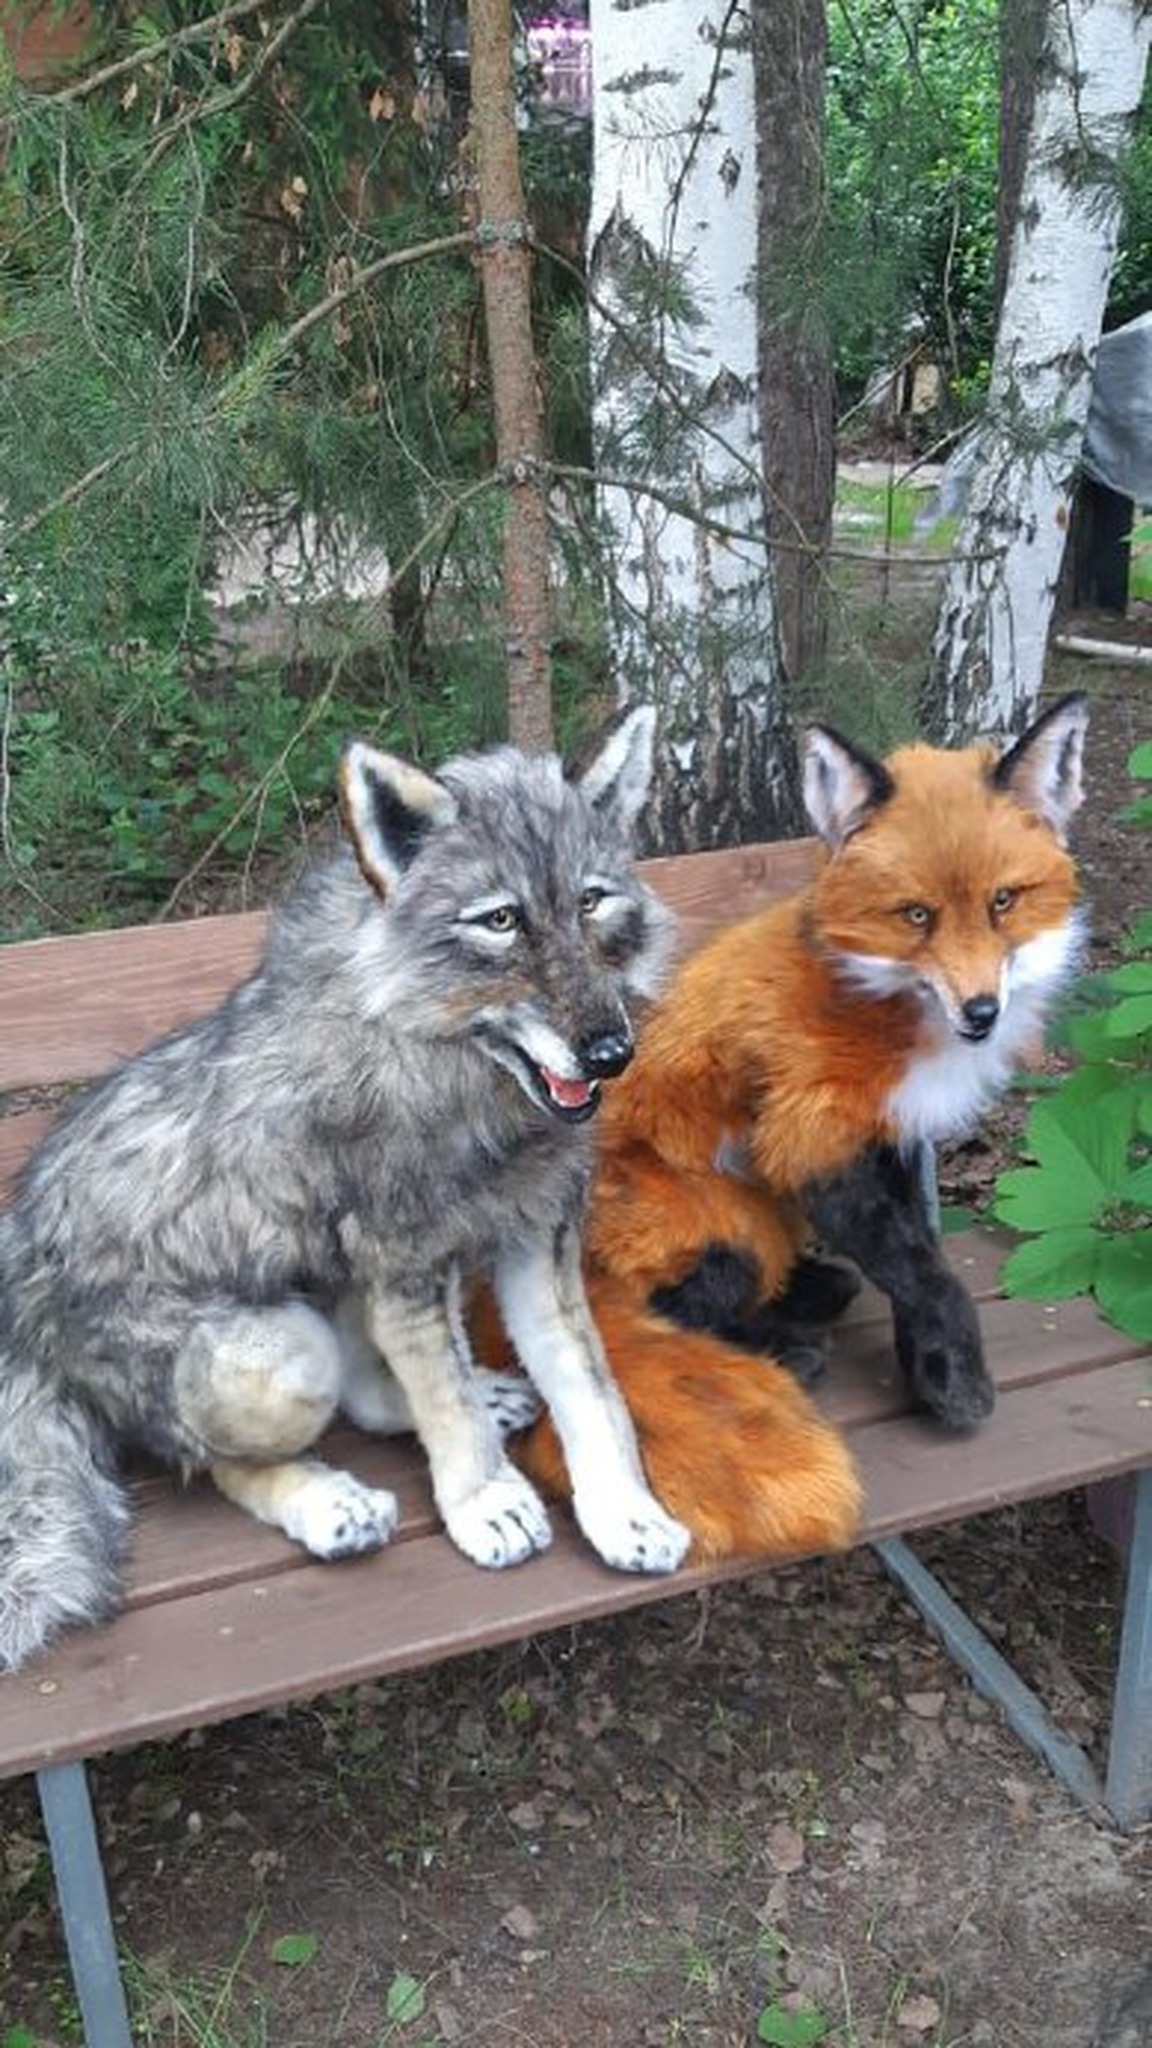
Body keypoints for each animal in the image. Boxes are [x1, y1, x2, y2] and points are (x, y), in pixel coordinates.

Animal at [0, 710, 704, 1673]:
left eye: (591, 902)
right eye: (500, 920)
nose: (609, 1054)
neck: (452, 1070)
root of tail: (25, 1309)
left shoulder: (535, 1242)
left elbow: (593, 1398)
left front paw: (624, 1514)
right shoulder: (408, 1264)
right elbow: (446, 1409)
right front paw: (487, 1504)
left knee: (372, 1394)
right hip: (280, 1349)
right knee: (220, 1461)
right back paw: (332, 1505)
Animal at [503, 694, 1089, 1555]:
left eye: (1003, 902)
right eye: (916, 916)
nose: (981, 1013)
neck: (874, 998)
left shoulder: (887, 1135)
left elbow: (915, 1255)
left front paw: (923, 1363)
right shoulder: (810, 1137)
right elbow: (931, 1275)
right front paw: (954, 1376)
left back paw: (812, 1293)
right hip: (726, 1224)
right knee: (670, 1316)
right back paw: (783, 1344)